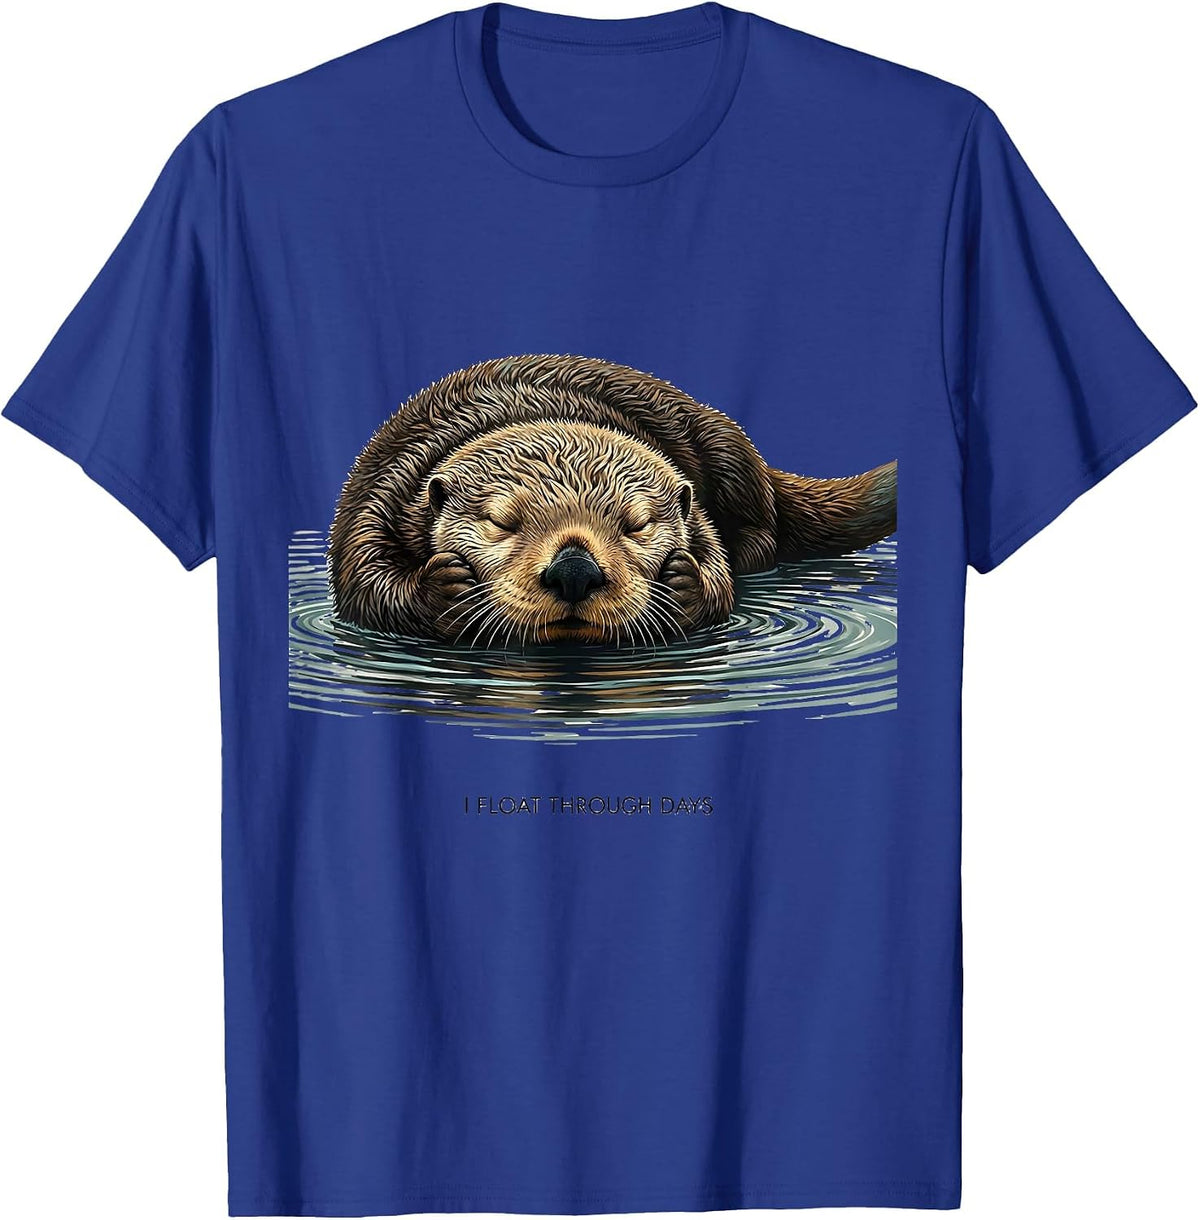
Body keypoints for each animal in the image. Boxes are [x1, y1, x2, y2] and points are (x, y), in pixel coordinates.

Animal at [328, 355, 896, 646]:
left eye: (637, 525)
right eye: (501, 522)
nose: (574, 570)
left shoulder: (698, 512)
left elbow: (716, 572)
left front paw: (683, 583)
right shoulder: (388, 490)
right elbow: (365, 580)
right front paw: (443, 588)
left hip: (725, 448)